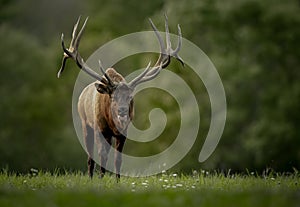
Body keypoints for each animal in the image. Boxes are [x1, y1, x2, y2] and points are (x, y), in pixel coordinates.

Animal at [56, 15, 183, 180]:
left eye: (130, 97)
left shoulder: (123, 132)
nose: (122, 110)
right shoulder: (99, 128)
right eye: (113, 97)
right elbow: (101, 155)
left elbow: (118, 159)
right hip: (86, 123)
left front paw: (117, 180)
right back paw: (91, 177)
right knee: (90, 157)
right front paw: (100, 180)